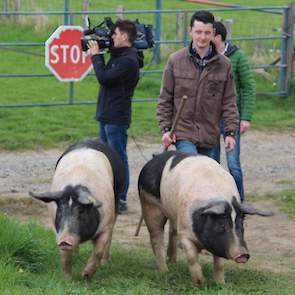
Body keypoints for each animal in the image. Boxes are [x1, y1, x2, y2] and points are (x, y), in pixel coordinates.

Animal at [28, 140, 123, 278]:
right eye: (60, 210)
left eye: (81, 211)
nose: (65, 240)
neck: (74, 187)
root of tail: (90, 140)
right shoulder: (57, 229)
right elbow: (65, 255)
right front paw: (67, 278)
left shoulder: (106, 224)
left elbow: (98, 251)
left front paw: (85, 276)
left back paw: (106, 263)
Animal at [139, 151, 272, 286]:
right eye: (221, 224)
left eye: (241, 223)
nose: (243, 254)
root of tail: (153, 159)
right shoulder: (185, 233)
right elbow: (192, 257)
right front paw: (200, 283)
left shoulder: (219, 244)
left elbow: (219, 263)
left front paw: (220, 283)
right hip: (149, 205)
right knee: (156, 238)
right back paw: (164, 271)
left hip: (172, 215)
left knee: (172, 232)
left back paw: (172, 261)